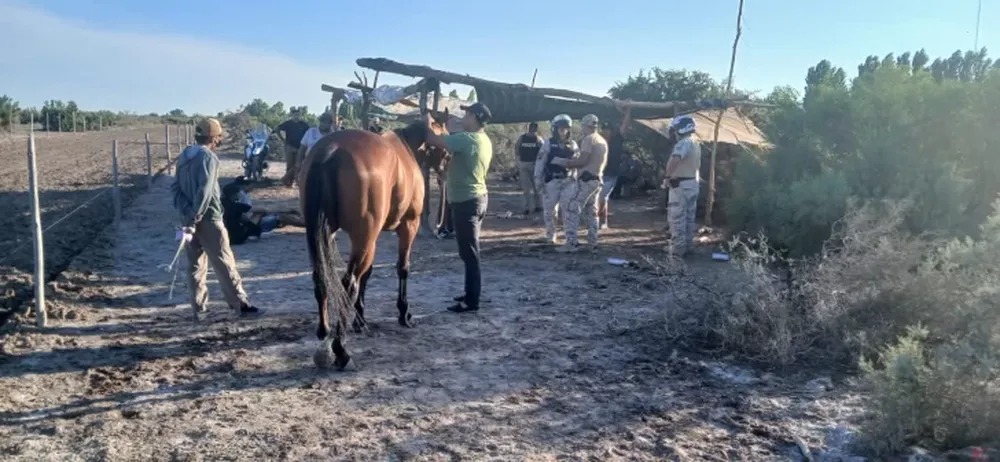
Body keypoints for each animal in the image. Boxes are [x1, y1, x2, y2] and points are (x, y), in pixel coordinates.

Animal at [299, 110, 450, 370]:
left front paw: (360, 319)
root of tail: (331, 150)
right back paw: (340, 349)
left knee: (322, 276)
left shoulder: (373, 236)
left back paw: (325, 331)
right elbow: (402, 268)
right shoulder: (408, 226)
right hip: (363, 236)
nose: (447, 160)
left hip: (328, 234)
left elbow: (367, 274)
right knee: (348, 282)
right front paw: (404, 314)